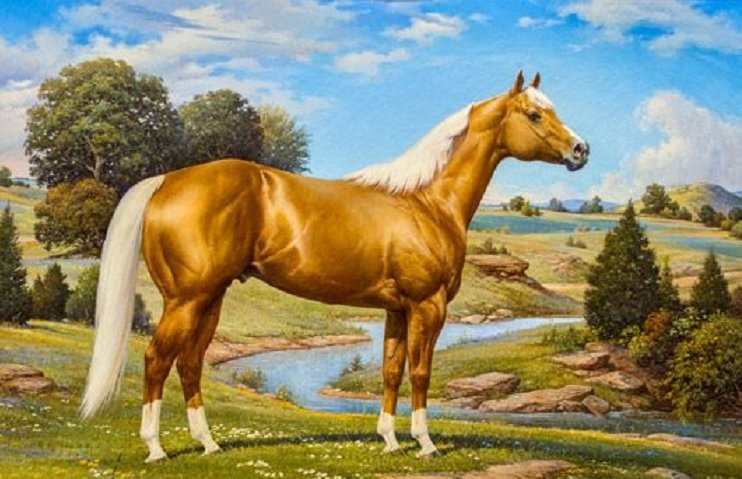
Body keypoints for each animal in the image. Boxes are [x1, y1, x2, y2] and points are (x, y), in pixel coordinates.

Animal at [80, 71, 589, 462]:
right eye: (534, 114)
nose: (581, 150)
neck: (427, 202)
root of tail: (168, 180)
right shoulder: (428, 306)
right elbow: (421, 373)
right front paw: (424, 444)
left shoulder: (397, 310)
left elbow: (390, 370)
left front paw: (389, 440)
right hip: (187, 299)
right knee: (156, 360)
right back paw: (157, 449)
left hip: (210, 298)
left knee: (189, 363)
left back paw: (209, 445)